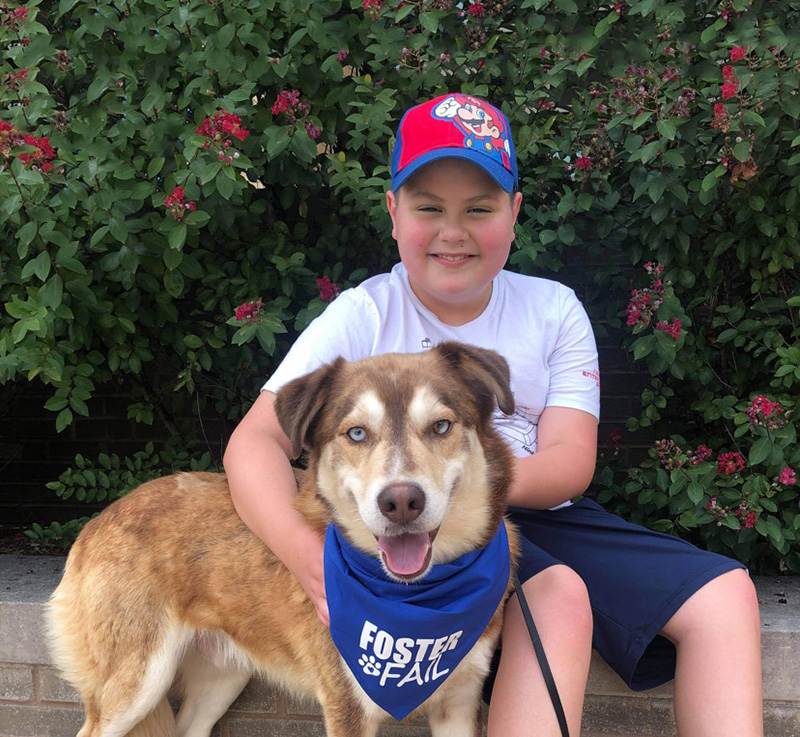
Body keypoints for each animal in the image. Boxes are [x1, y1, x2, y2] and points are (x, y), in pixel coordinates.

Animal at [47, 344, 520, 736]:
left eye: (440, 426)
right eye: (357, 433)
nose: (400, 502)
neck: (417, 603)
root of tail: (100, 519)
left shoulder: (460, 703)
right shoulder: (347, 708)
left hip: (221, 679)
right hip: (133, 688)